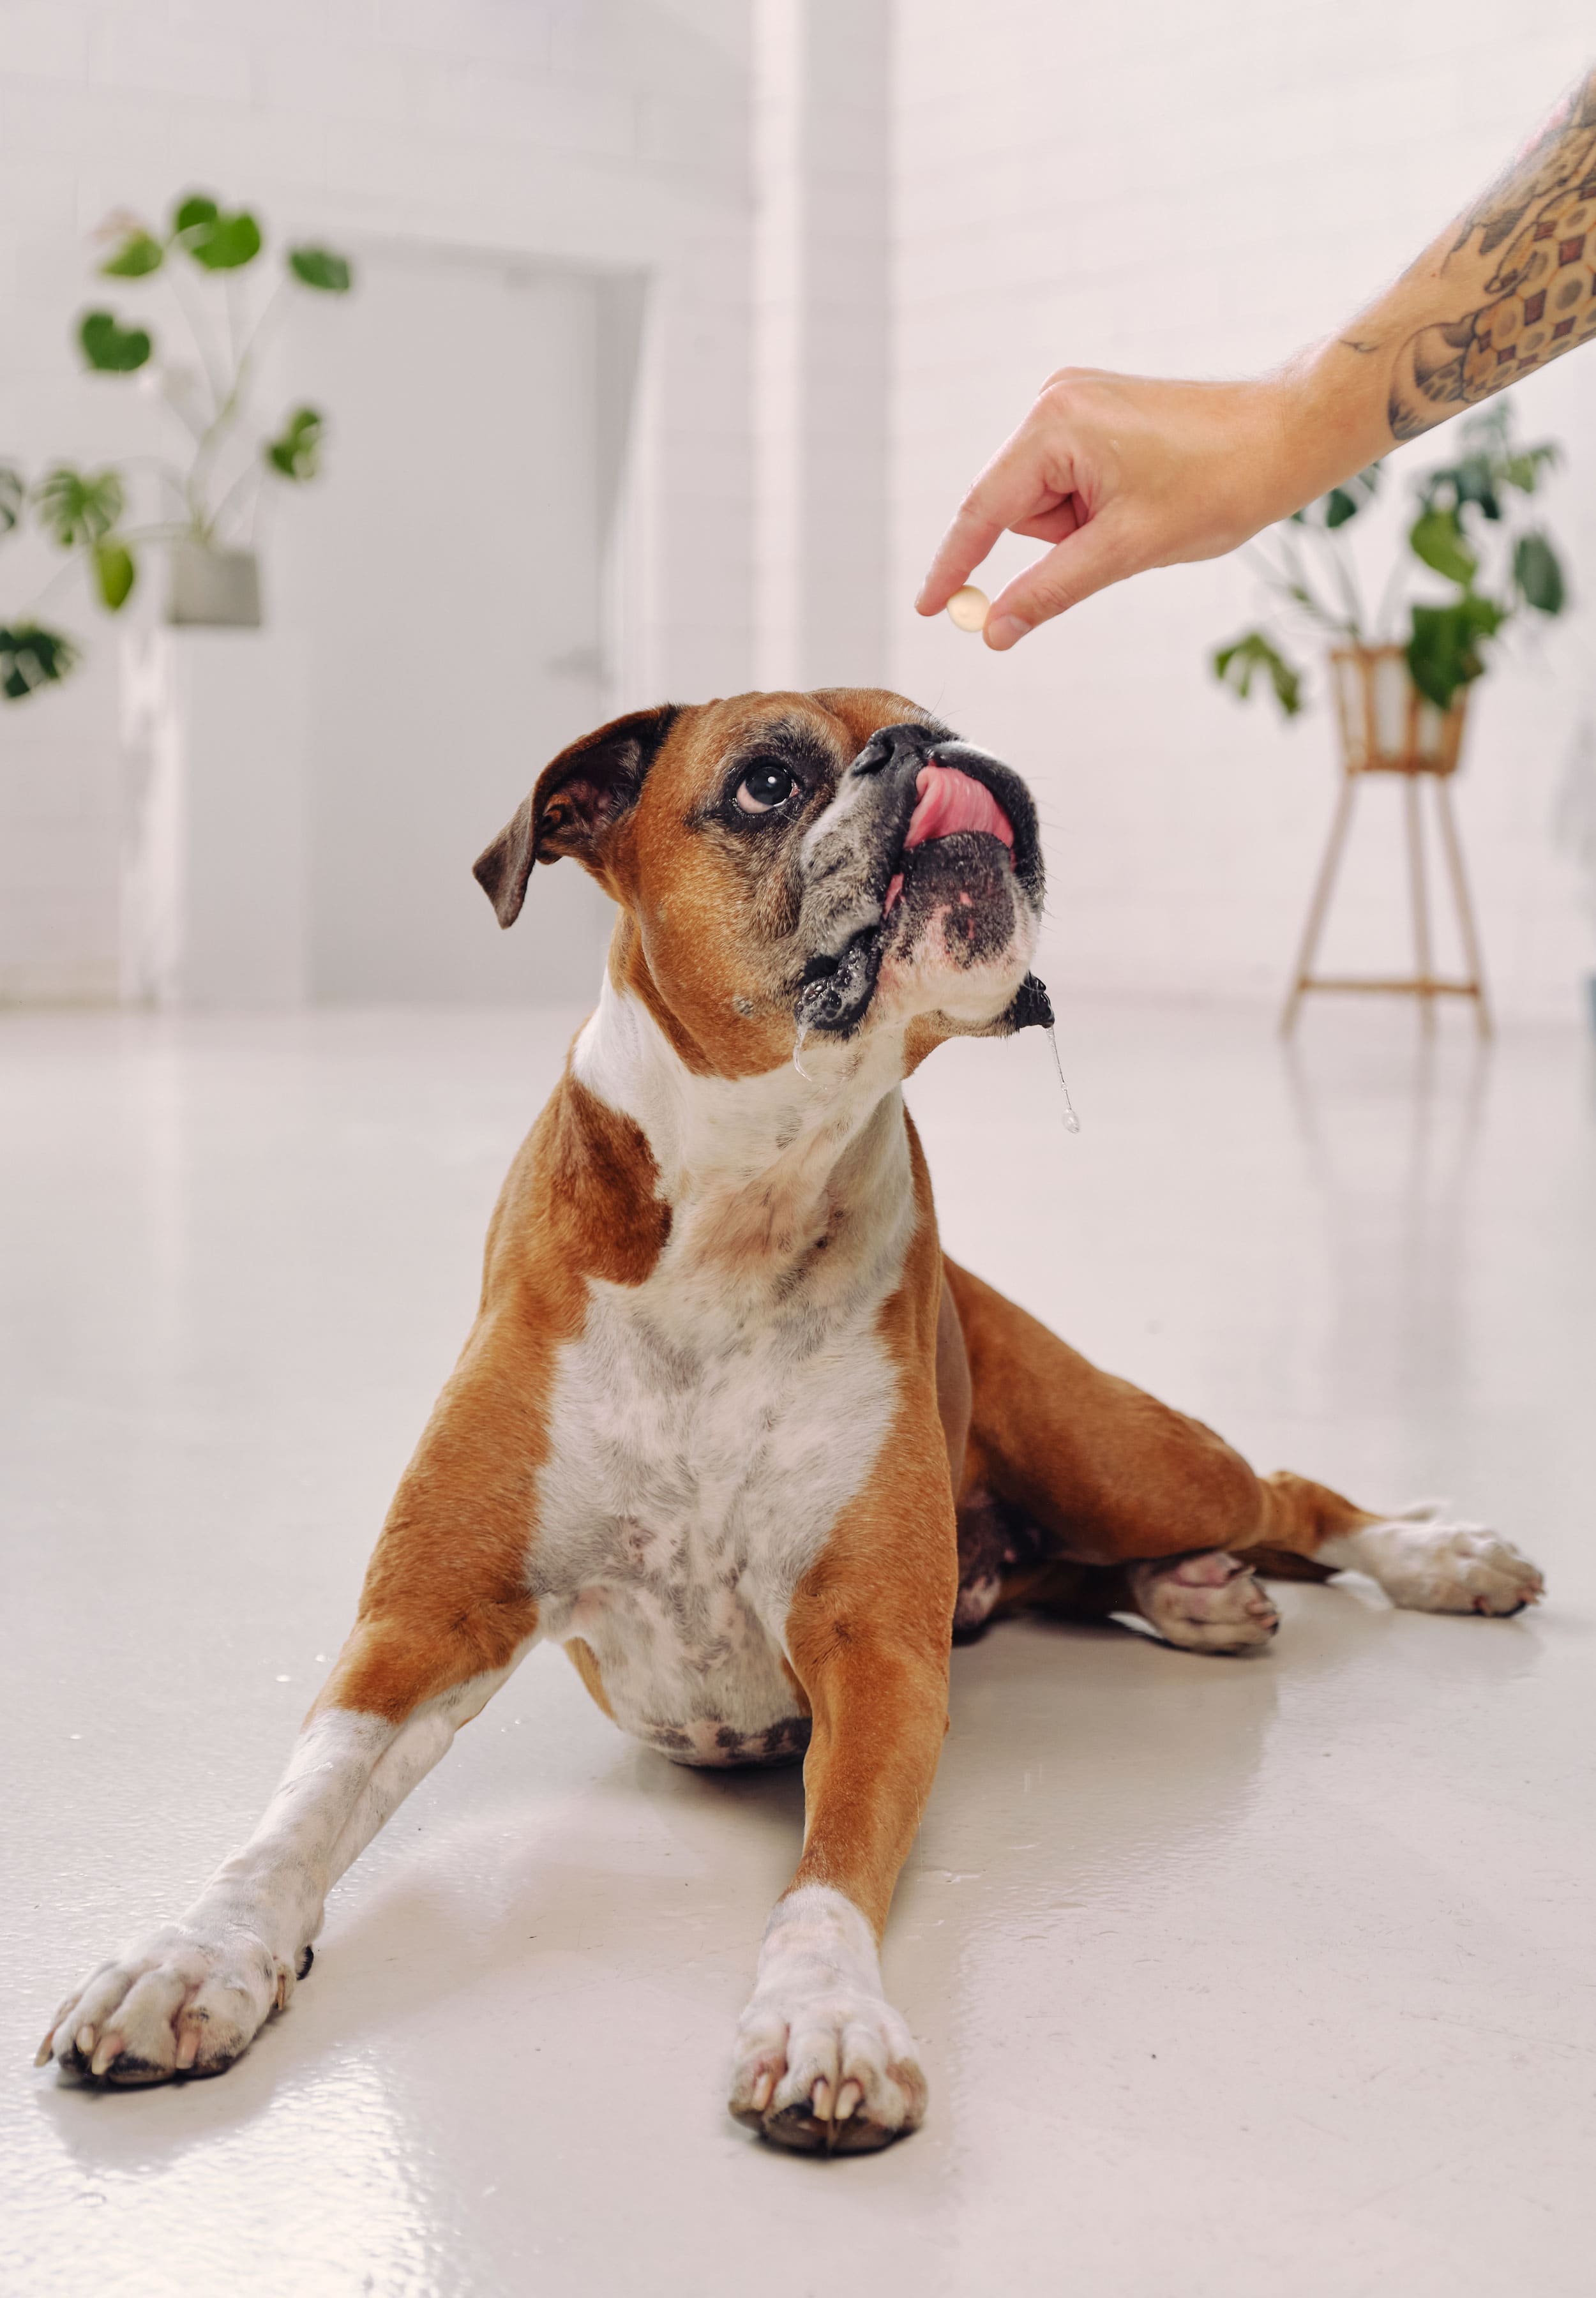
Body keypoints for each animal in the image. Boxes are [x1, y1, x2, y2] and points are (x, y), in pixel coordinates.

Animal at [40, 684, 1555, 2151]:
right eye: (768, 782)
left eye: (933, 712)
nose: (937, 751)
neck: (747, 1191)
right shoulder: (422, 1628)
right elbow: (294, 1819)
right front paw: (192, 1957)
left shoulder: (877, 1656)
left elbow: (826, 1878)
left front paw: (824, 2017)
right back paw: (1195, 1594)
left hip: (1126, 1458)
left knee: (1292, 1496)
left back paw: (1436, 1556)